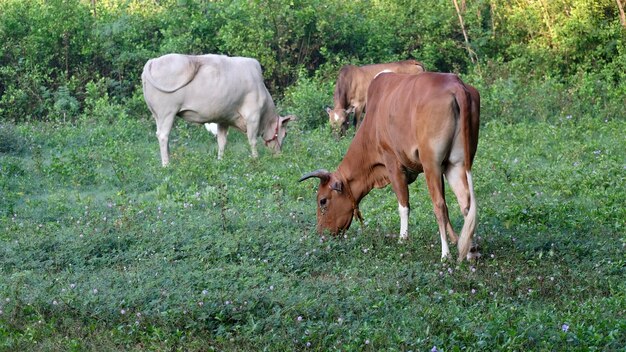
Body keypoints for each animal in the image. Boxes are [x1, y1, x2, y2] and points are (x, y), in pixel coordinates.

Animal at [143, 53, 294, 166]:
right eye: (285, 133)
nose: (279, 155)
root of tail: (153, 61)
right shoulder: (253, 116)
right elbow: (252, 140)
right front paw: (256, 159)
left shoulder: (223, 119)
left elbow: (222, 141)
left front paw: (220, 160)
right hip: (166, 112)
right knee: (163, 135)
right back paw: (166, 164)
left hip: (157, 114)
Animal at [300, 72, 480, 262]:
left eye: (322, 200)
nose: (321, 235)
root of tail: (455, 84)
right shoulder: (442, 167)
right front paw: (456, 240)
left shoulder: (393, 163)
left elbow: (404, 205)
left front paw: (403, 239)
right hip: (457, 164)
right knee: (465, 203)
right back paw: (470, 251)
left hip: (431, 163)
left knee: (439, 206)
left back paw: (445, 255)